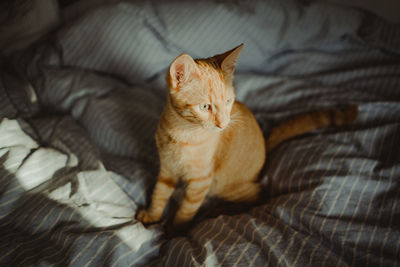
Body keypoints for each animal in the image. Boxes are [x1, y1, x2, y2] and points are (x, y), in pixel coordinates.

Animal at [136, 44, 358, 228]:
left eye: (228, 101)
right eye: (205, 107)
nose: (223, 124)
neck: (182, 132)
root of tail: (265, 146)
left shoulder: (201, 180)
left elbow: (186, 209)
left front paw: (175, 230)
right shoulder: (167, 169)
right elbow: (159, 193)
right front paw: (152, 215)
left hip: (226, 186)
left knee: (258, 196)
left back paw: (220, 210)